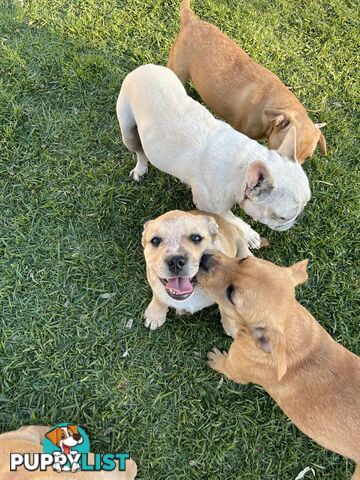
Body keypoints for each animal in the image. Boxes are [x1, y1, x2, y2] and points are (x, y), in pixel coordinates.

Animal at [116, 64, 310, 249]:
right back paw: (140, 169)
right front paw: (250, 235)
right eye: (284, 217)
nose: (299, 217)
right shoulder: (210, 207)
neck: (242, 165)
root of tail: (144, 68)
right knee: (139, 151)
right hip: (128, 130)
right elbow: (234, 220)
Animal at [198, 253, 360, 478]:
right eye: (244, 260)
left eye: (231, 294)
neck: (290, 325)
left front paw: (216, 358)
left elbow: (225, 364)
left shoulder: (236, 369)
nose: (204, 257)